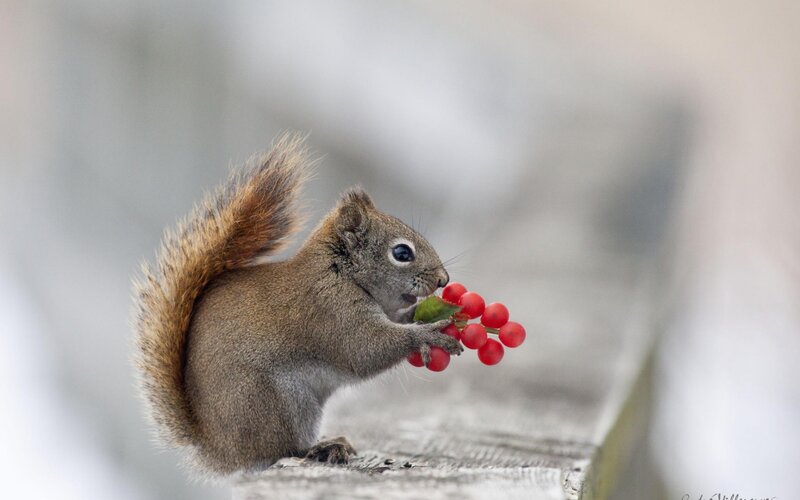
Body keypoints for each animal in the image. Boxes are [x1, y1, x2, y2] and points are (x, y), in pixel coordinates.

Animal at [133, 134, 462, 476]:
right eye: (401, 253)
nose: (443, 279)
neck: (339, 271)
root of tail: (219, 450)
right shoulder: (330, 310)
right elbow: (365, 350)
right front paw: (428, 334)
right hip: (278, 402)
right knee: (283, 449)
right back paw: (323, 447)